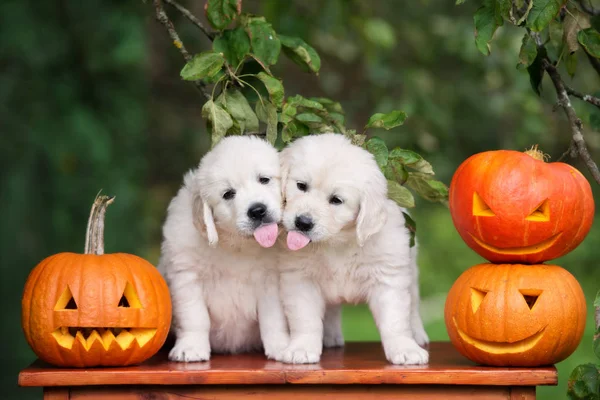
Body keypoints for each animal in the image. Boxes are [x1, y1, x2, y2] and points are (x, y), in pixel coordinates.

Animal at [158, 136, 290, 360]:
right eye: (228, 194)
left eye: (264, 179)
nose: (258, 210)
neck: (236, 244)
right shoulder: (187, 277)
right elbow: (195, 317)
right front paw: (191, 347)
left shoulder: (270, 281)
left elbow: (273, 319)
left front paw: (281, 347)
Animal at [278, 134, 428, 366]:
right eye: (301, 186)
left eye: (336, 200)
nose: (302, 222)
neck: (337, 240)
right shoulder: (300, 279)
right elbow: (306, 319)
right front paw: (301, 348)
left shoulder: (387, 277)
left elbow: (395, 320)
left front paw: (405, 349)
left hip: (410, 270)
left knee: (412, 305)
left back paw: (418, 335)